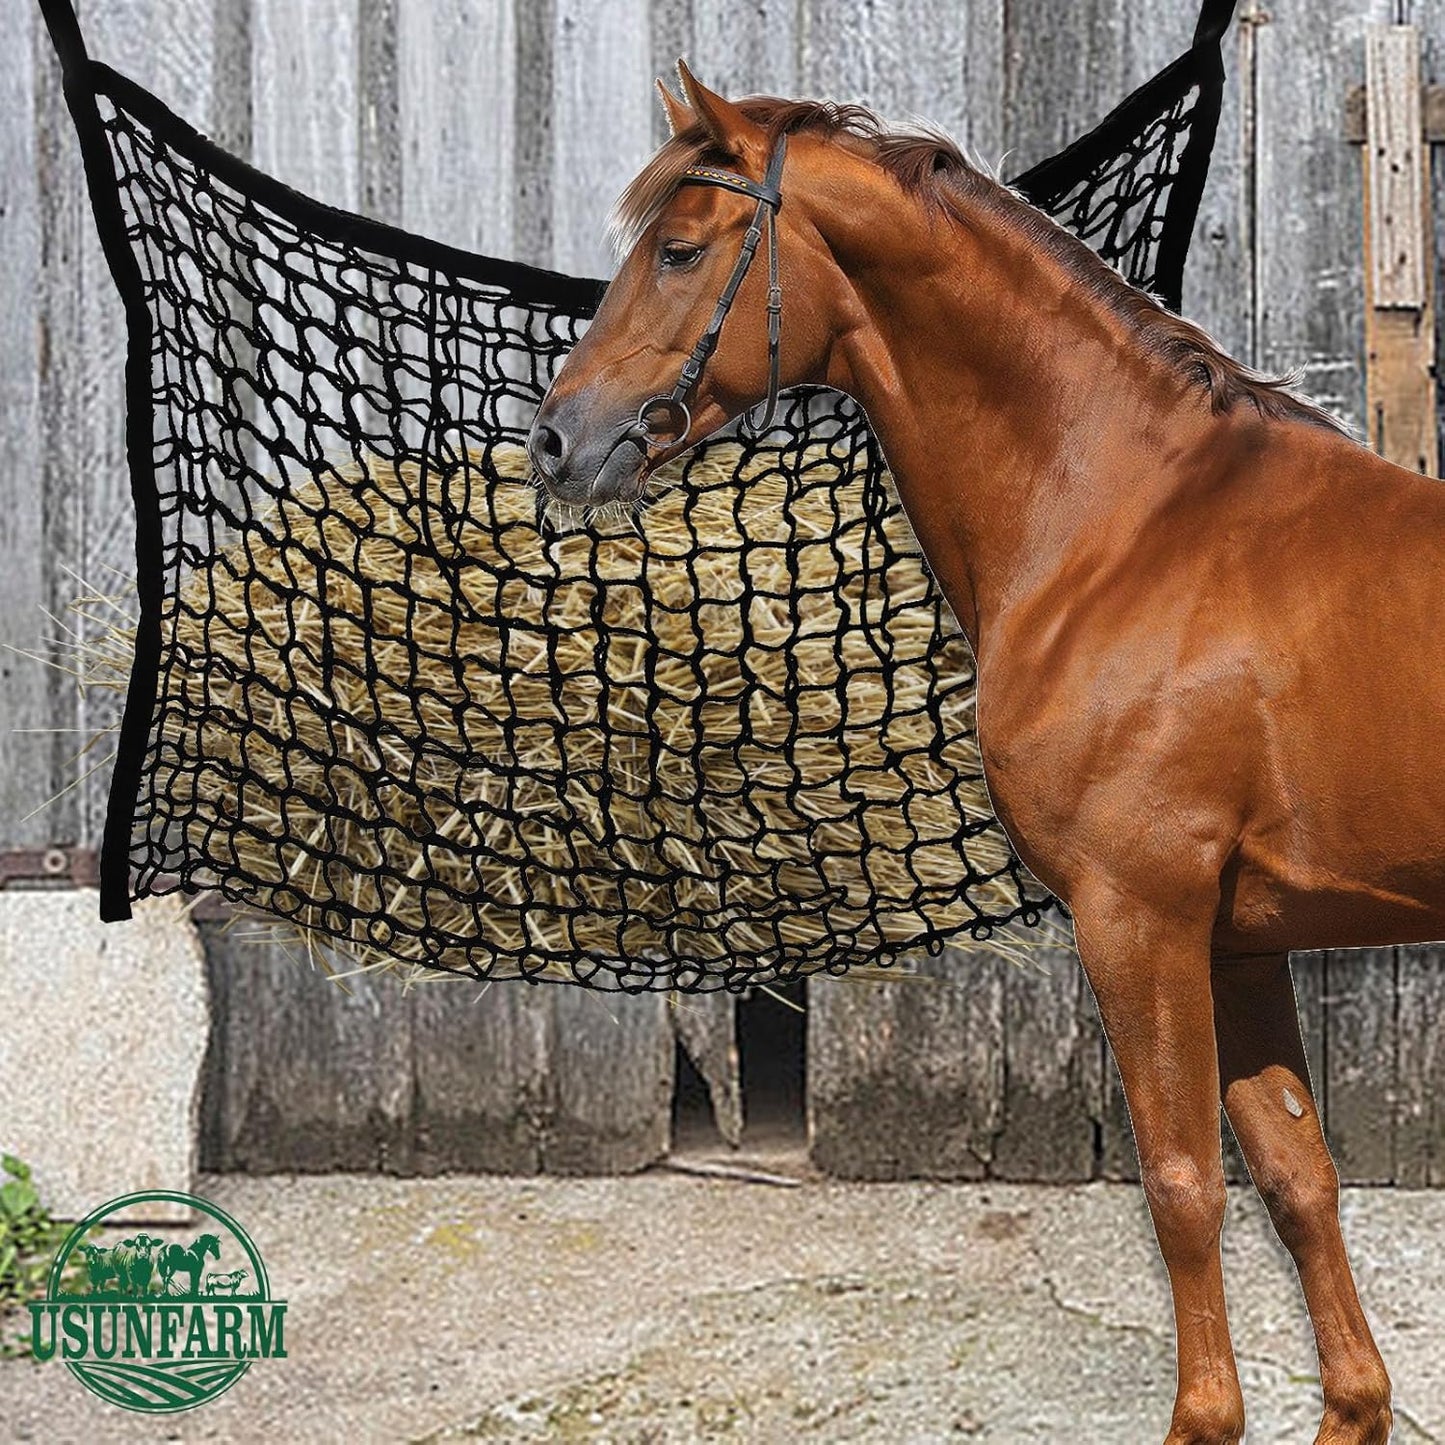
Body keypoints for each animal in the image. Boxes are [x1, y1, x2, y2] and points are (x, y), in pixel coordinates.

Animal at [526, 63, 1445, 1445]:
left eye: (679, 249)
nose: (556, 441)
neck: (1126, 526)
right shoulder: (1237, 938)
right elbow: (1293, 1172)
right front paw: (1349, 1405)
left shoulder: (1136, 919)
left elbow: (1181, 1183)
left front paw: (1201, 1417)